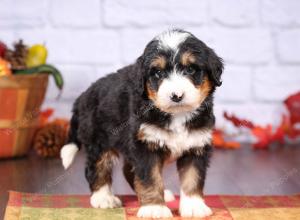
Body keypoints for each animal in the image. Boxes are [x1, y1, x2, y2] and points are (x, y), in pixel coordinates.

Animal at [61, 29, 223, 218]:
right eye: (158, 73)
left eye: (190, 69)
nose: (176, 96)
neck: (177, 115)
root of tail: (83, 96)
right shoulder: (146, 145)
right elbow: (150, 178)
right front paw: (154, 208)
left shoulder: (196, 145)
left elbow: (192, 177)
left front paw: (193, 206)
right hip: (99, 141)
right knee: (96, 168)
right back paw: (104, 198)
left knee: (128, 170)